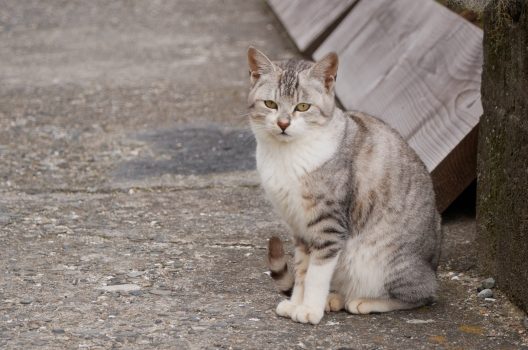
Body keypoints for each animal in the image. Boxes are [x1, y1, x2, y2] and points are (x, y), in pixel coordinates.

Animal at [246, 47, 442, 326]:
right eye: (270, 104)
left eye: (302, 107)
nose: (283, 124)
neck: (286, 156)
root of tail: (433, 267)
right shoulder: (300, 227)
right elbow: (302, 270)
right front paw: (296, 303)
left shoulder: (328, 224)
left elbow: (316, 274)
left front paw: (309, 310)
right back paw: (336, 298)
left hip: (387, 262)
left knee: (422, 295)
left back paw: (364, 301)